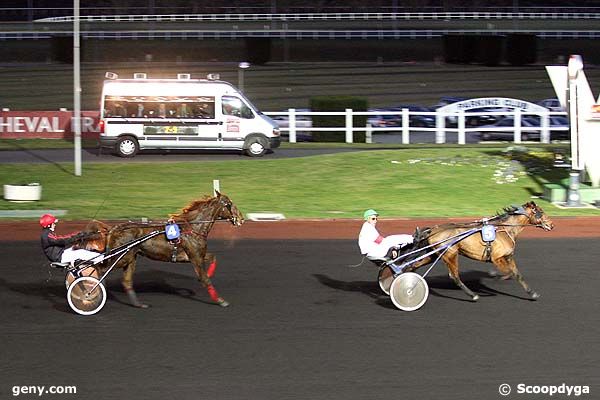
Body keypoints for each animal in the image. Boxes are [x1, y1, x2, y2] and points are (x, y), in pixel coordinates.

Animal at [94, 192, 241, 308]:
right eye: (228, 204)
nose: (241, 218)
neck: (193, 228)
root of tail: (115, 228)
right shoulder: (195, 257)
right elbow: (205, 279)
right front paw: (221, 301)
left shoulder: (195, 255)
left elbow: (213, 258)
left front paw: (208, 275)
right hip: (123, 257)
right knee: (101, 269)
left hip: (131, 257)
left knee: (127, 281)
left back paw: (139, 304)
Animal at [406, 202, 556, 302]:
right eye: (541, 212)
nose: (552, 225)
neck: (504, 230)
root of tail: (433, 230)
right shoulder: (497, 258)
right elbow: (509, 272)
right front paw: (495, 276)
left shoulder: (508, 256)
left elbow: (517, 274)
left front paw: (532, 293)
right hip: (450, 254)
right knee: (454, 276)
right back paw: (473, 295)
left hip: (432, 255)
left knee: (412, 265)